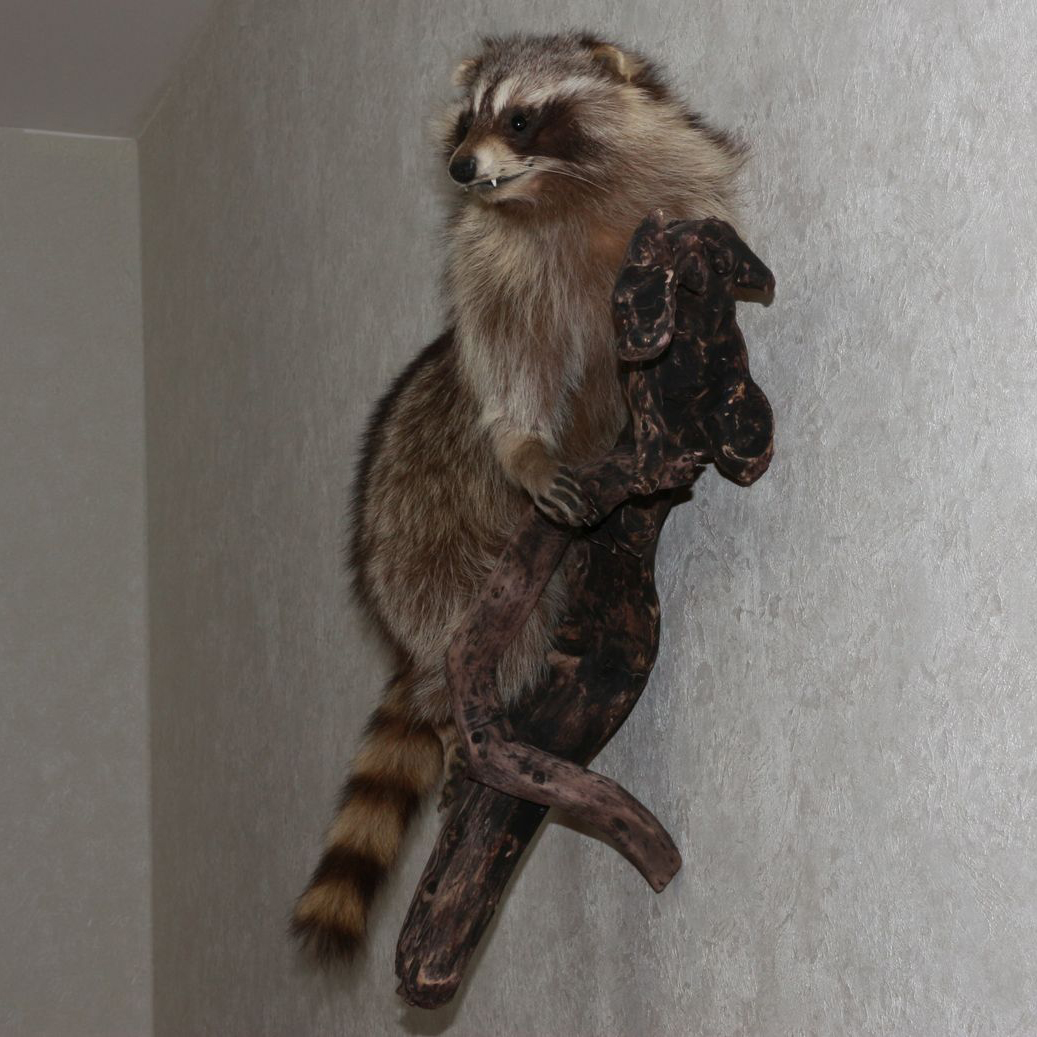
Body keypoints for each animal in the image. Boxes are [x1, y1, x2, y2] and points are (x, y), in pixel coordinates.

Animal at [292, 31, 745, 960]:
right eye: (464, 119)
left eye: (520, 118)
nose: (461, 167)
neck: (558, 194)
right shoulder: (491, 269)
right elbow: (509, 368)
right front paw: (524, 445)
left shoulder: (678, 201)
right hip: (418, 526)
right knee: (474, 628)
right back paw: (458, 721)